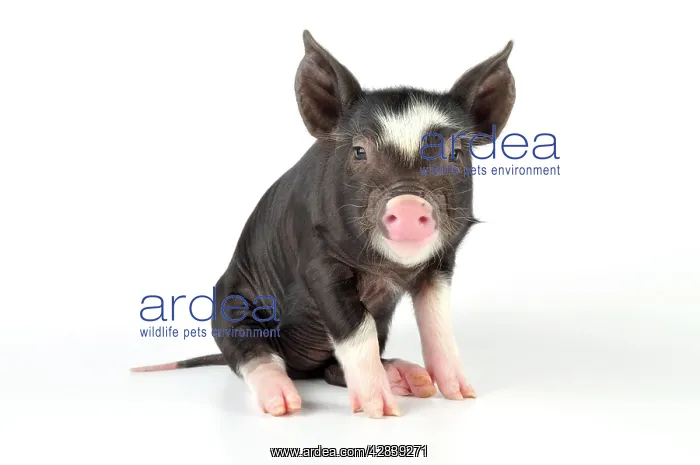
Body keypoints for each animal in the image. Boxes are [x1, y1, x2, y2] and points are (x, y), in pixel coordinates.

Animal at [131, 30, 516, 418]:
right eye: (359, 151)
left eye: (456, 153)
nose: (408, 205)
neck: (388, 270)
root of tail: (302, 369)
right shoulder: (317, 261)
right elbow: (356, 329)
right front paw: (382, 412)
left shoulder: (440, 265)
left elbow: (437, 324)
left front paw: (463, 395)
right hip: (228, 308)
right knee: (254, 355)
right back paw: (284, 403)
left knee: (333, 370)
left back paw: (411, 378)